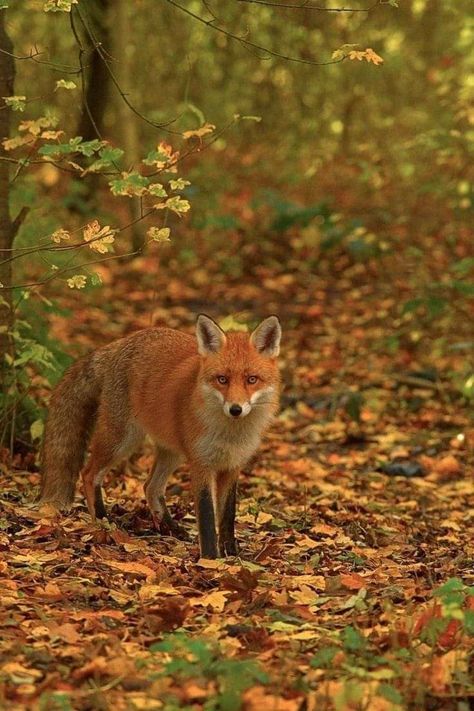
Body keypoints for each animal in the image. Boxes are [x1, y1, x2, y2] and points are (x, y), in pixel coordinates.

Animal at [40, 314, 282, 560]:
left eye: (252, 379)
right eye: (222, 379)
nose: (235, 409)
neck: (230, 435)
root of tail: (123, 341)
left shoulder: (232, 466)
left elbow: (227, 517)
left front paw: (231, 555)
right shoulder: (201, 465)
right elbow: (206, 517)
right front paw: (211, 559)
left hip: (172, 451)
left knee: (150, 486)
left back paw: (171, 528)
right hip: (123, 440)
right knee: (89, 474)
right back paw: (103, 521)